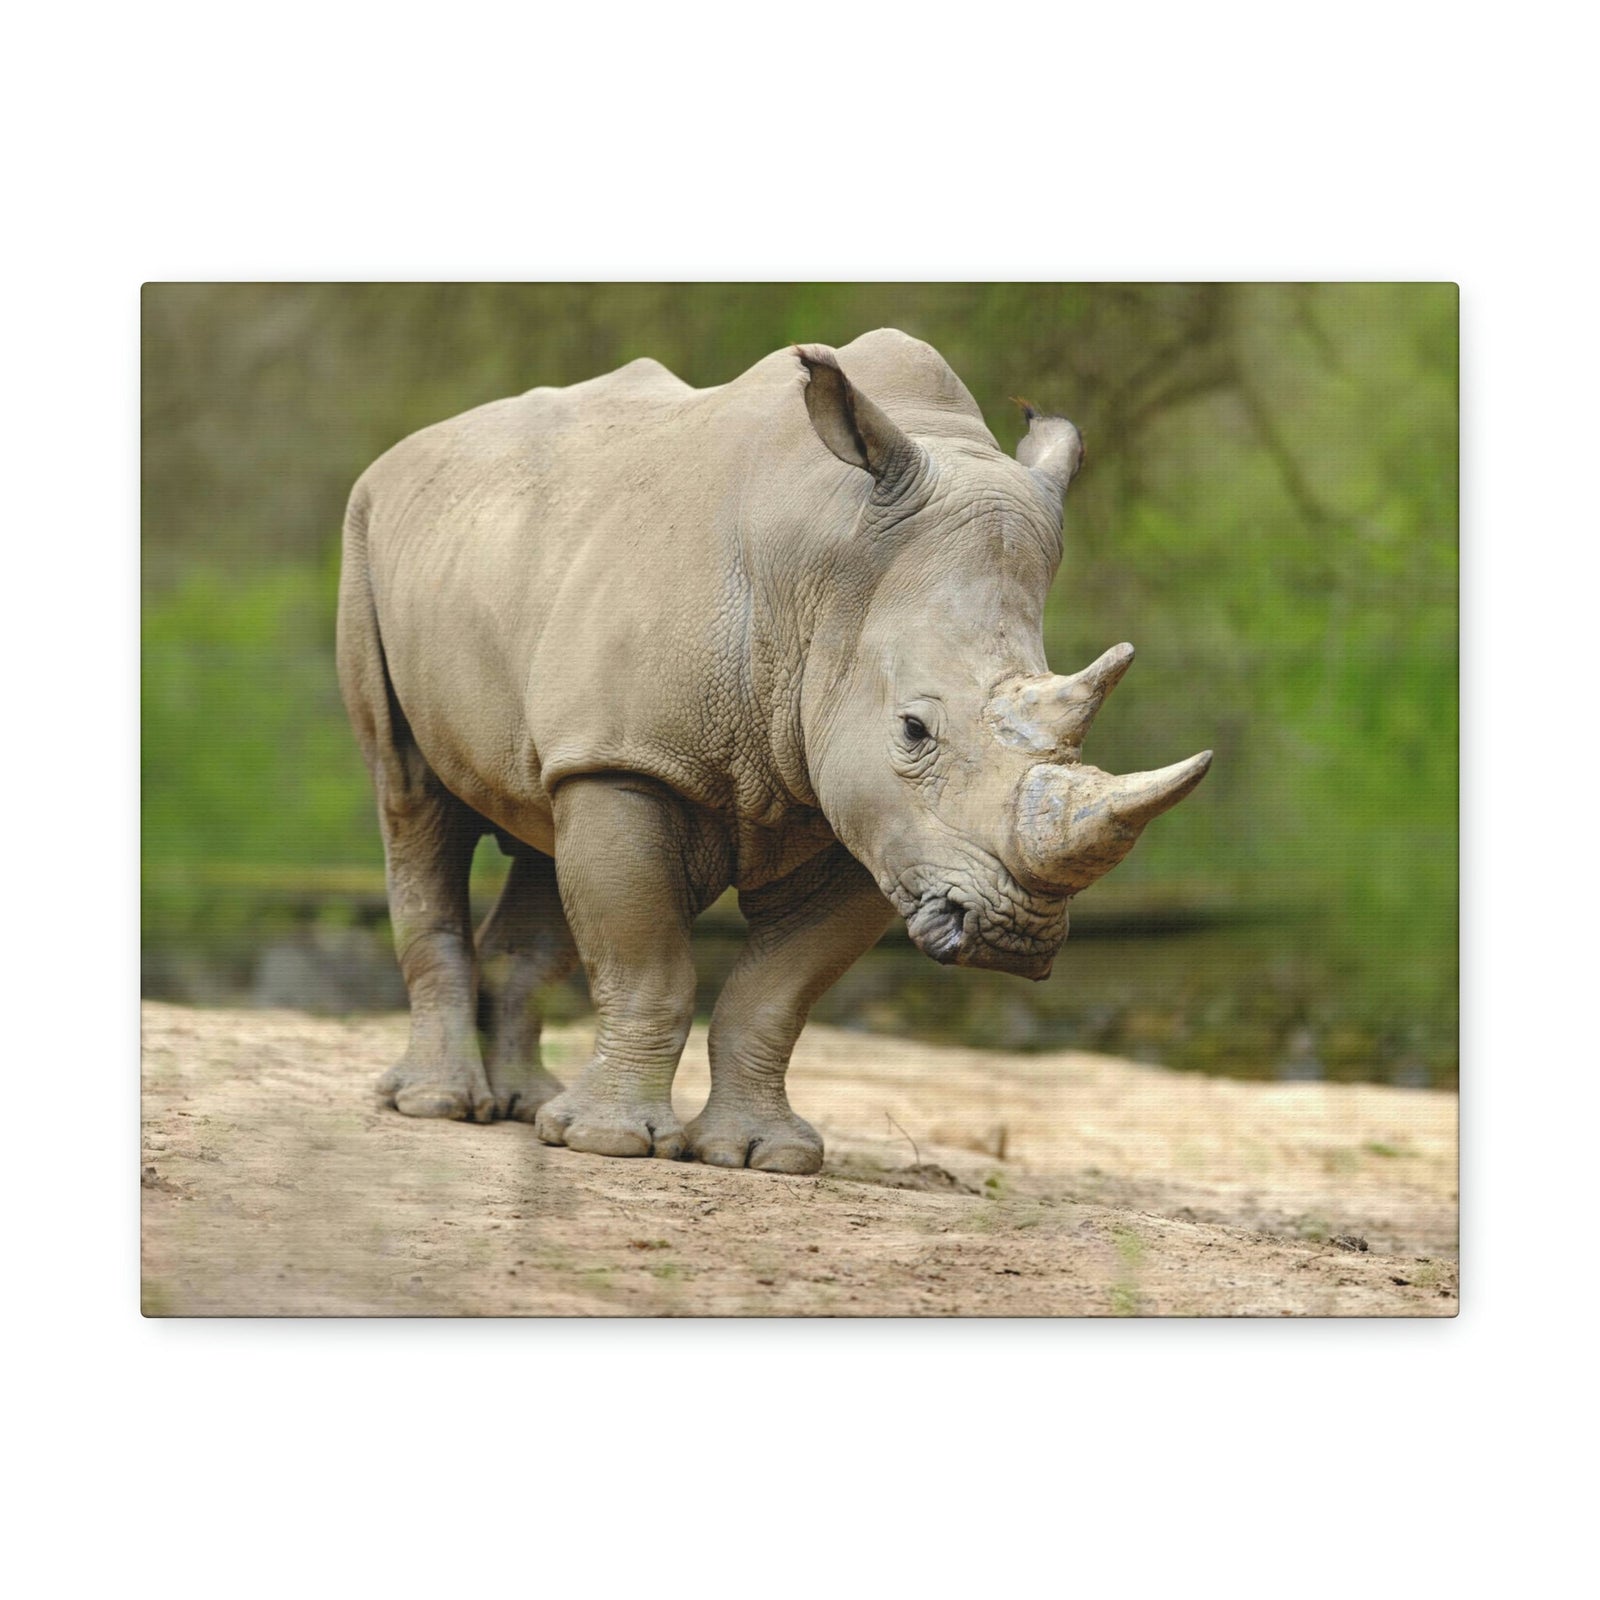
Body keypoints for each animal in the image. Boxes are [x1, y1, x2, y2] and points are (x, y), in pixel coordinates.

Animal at [337, 328, 1210, 1174]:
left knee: (542, 825)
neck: (829, 576)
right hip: (369, 531)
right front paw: (610, 1145)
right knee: (412, 799)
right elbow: (647, 964)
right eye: (914, 730)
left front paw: (763, 1155)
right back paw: (442, 1106)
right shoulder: (635, 759)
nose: (1013, 934)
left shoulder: (875, 822)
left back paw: (524, 1106)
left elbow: (776, 994)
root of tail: (416, 447)